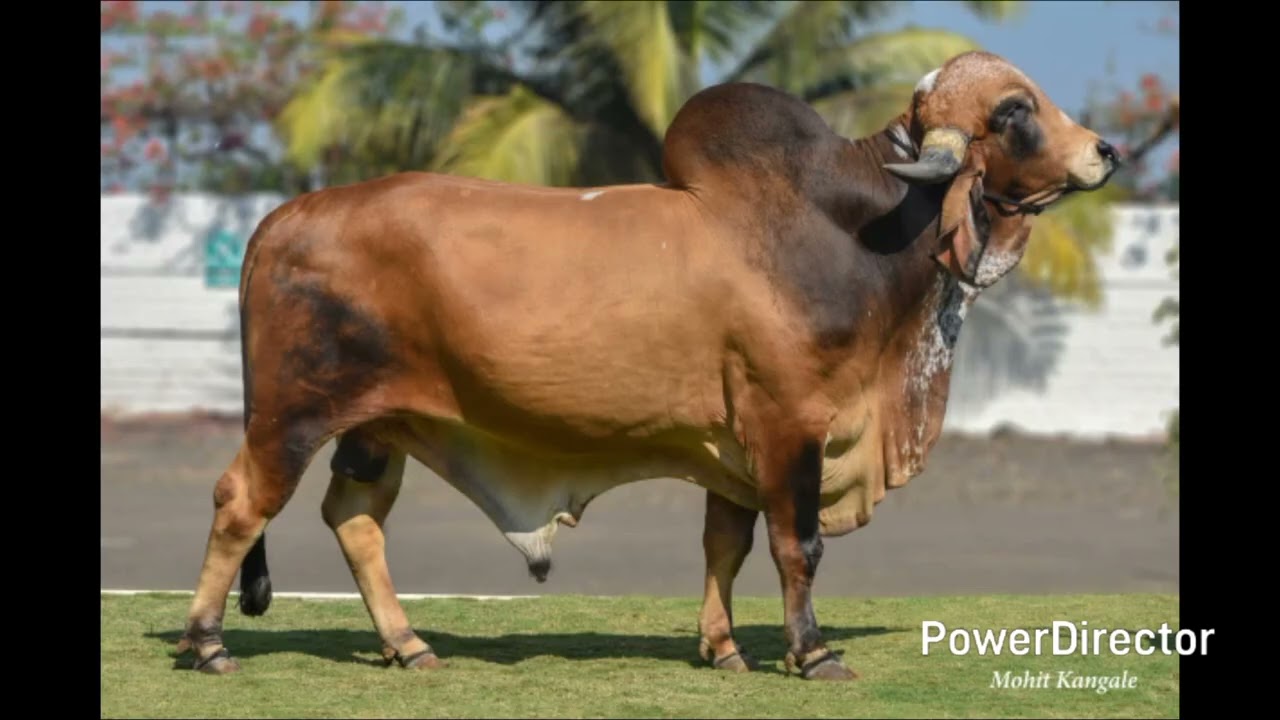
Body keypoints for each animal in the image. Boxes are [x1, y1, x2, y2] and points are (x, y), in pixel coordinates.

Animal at [174, 51, 1118, 681]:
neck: (855, 230)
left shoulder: (735, 447)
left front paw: (725, 649)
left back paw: (408, 646)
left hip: (381, 424)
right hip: (291, 414)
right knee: (240, 503)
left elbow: (725, 545)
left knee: (355, 518)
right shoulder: (791, 426)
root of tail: (285, 216)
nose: (1105, 151)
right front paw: (811, 654)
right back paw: (208, 643)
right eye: (1015, 110)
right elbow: (799, 544)